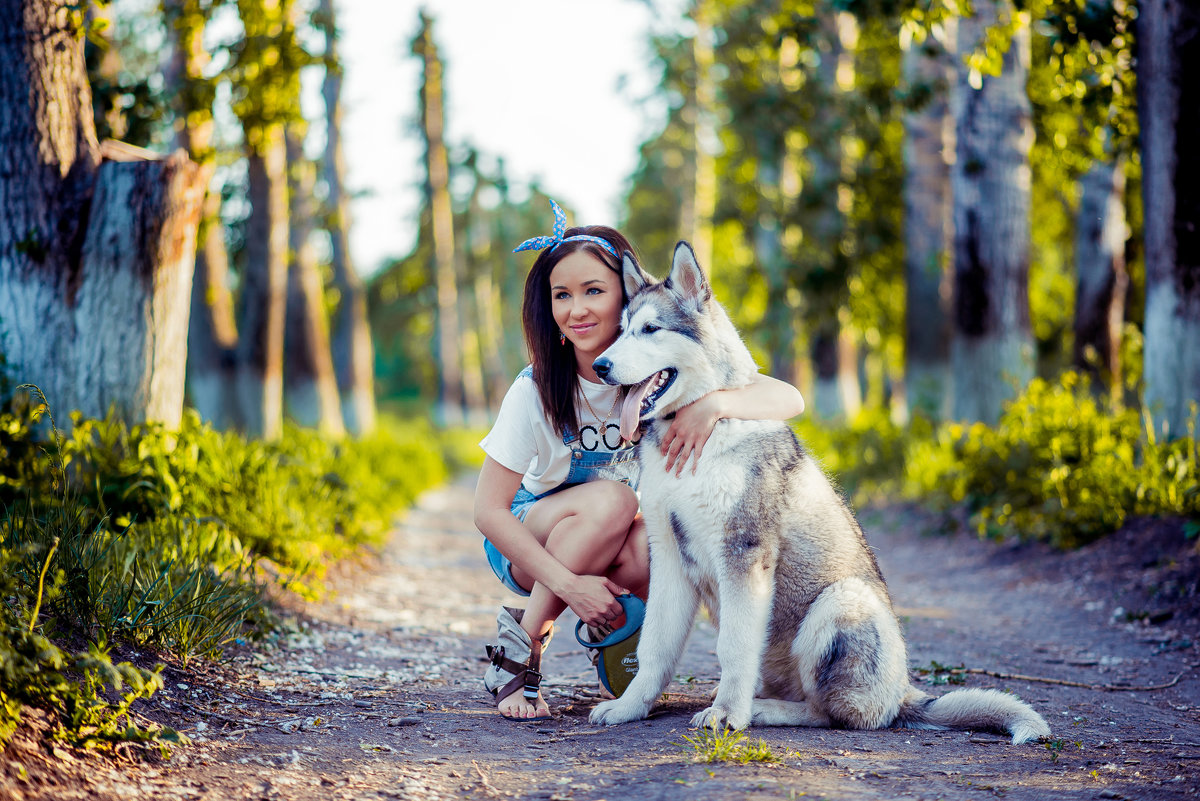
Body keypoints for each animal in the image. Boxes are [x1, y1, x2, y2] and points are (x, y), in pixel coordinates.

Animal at [588, 239, 1051, 743]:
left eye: (651, 329)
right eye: (621, 331)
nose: (599, 365)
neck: (704, 432)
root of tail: (902, 692)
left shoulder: (744, 554)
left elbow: (733, 649)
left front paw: (726, 714)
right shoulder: (670, 555)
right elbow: (654, 648)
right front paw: (631, 707)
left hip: (841, 601)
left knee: (834, 713)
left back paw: (762, 710)